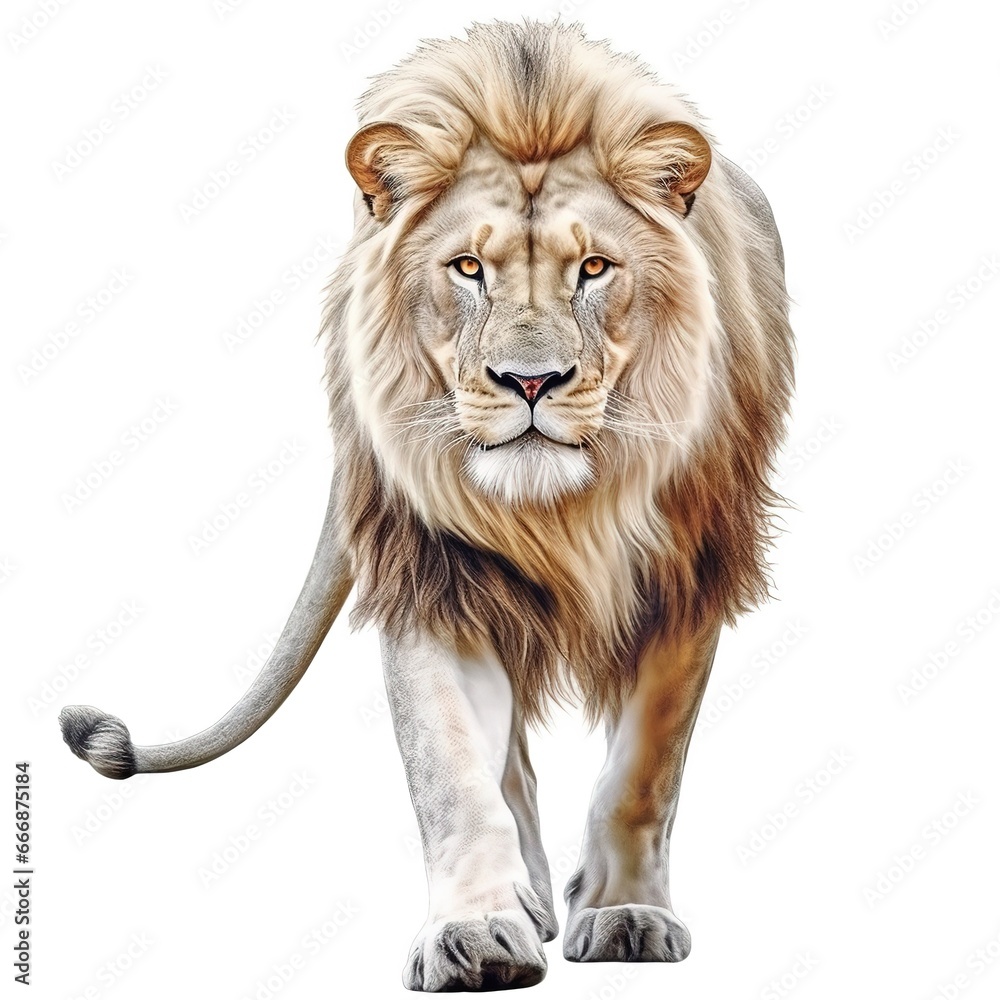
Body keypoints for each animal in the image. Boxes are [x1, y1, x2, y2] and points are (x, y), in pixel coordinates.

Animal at [59, 21, 794, 992]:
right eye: (469, 268)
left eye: (595, 268)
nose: (530, 381)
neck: (561, 512)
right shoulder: (429, 570)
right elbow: (449, 767)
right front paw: (478, 931)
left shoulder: (693, 569)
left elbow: (645, 770)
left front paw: (625, 914)